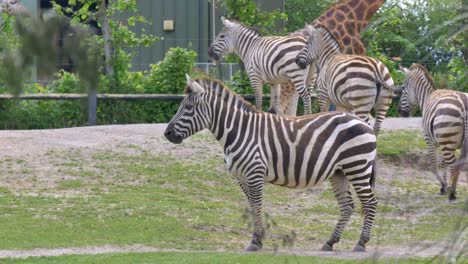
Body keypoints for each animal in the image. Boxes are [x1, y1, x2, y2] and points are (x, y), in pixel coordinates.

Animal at [163, 76, 378, 252]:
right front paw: (258, 238)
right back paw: (330, 242)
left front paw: (255, 241)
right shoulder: (241, 177)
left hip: (357, 167)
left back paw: (361, 243)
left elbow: (257, 205)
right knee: (347, 206)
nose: (167, 133)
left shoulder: (255, 172)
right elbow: (251, 205)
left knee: (370, 202)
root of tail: (361, 121)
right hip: (339, 172)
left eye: (188, 108)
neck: (237, 130)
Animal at [396, 64, 466, 202]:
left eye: (403, 88)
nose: (400, 112)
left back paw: (452, 194)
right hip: (449, 141)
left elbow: (433, 165)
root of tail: (462, 104)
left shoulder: (429, 138)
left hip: (447, 139)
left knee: (454, 165)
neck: (426, 97)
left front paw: (444, 186)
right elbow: (443, 164)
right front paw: (445, 186)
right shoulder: (442, 142)